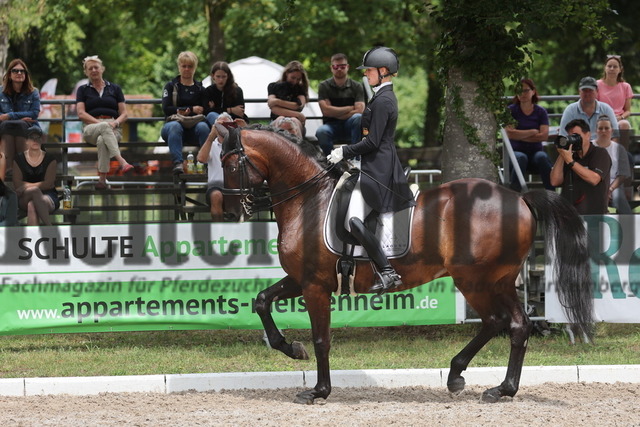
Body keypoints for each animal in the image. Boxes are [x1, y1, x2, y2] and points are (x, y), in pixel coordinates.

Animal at [216, 123, 596, 404]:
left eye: (231, 165)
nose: (232, 213)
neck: (310, 199)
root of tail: (520, 198)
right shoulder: (302, 279)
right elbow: (261, 301)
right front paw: (292, 349)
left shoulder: (314, 285)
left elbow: (321, 338)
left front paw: (318, 391)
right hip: (496, 280)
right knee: (510, 323)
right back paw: (478, 381)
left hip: (476, 279)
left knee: (505, 321)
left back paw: (489, 385)